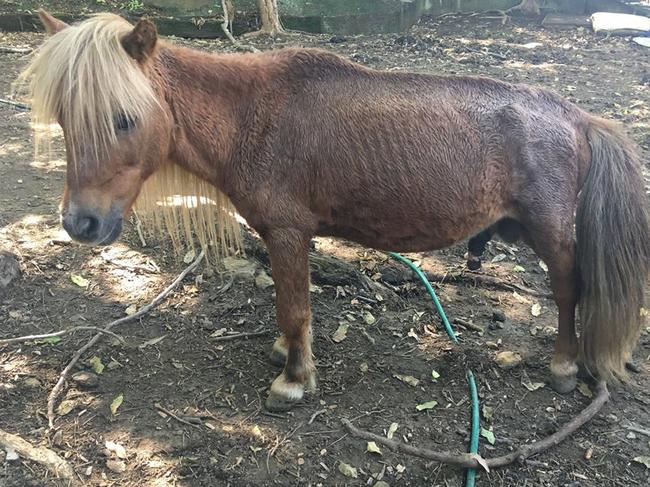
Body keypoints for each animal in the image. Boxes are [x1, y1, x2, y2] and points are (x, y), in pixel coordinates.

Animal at [19, 10, 648, 412]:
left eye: (124, 118)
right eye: (65, 117)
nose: (80, 223)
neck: (252, 118)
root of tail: (577, 116)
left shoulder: (288, 232)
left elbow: (295, 309)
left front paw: (294, 381)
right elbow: (288, 307)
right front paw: (285, 354)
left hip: (550, 232)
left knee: (568, 291)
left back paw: (564, 366)